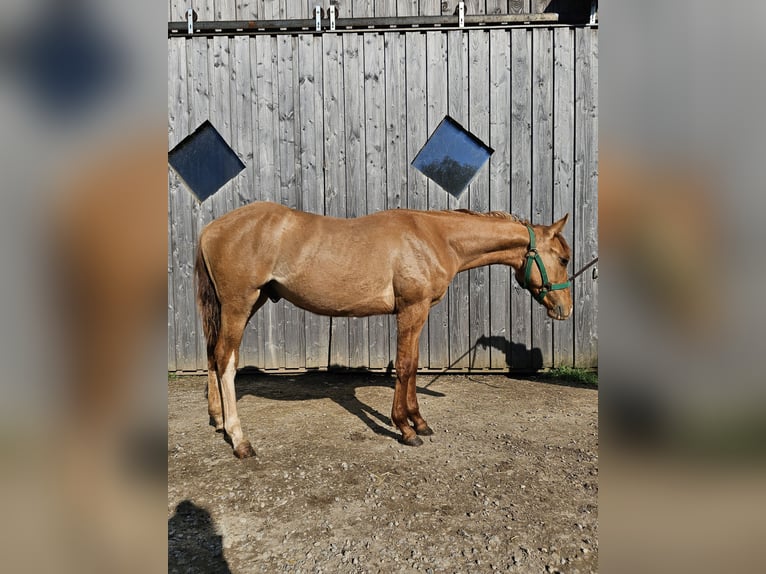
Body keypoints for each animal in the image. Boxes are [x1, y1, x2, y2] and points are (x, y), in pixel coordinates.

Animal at [195, 201, 573, 458]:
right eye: (563, 258)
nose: (565, 309)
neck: (434, 237)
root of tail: (211, 228)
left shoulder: (418, 313)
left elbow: (414, 365)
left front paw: (420, 422)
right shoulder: (411, 310)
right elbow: (404, 366)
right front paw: (405, 428)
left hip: (248, 303)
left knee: (214, 356)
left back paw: (218, 420)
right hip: (239, 303)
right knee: (226, 361)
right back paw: (240, 440)